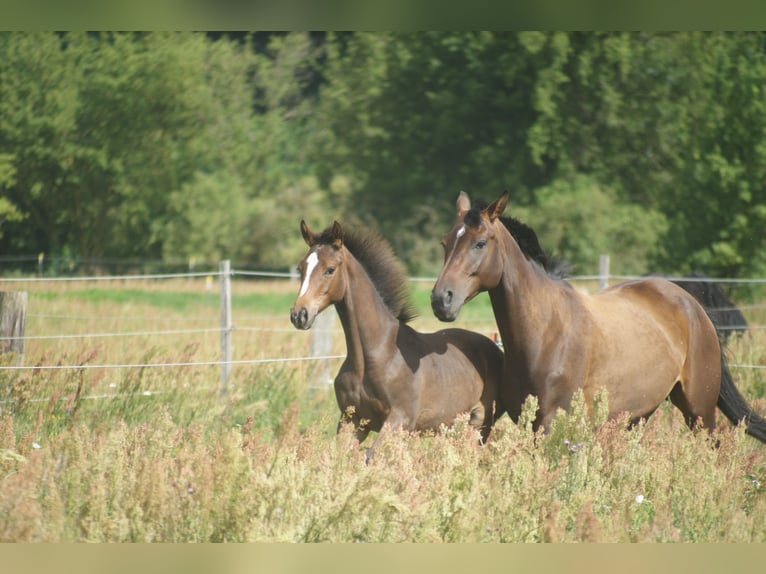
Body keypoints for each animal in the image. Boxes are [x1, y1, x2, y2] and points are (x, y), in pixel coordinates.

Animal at [290, 219, 506, 459]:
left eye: (330, 269)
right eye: (300, 268)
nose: (299, 315)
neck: (375, 354)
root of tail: (496, 349)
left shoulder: (399, 420)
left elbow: (370, 457)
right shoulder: (351, 420)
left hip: (480, 424)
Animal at [430, 191, 766, 443]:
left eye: (480, 243)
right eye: (445, 242)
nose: (440, 299)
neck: (545, 334)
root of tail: (690, 303)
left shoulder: (551, 425)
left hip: (700, 411)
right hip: (635, 415)